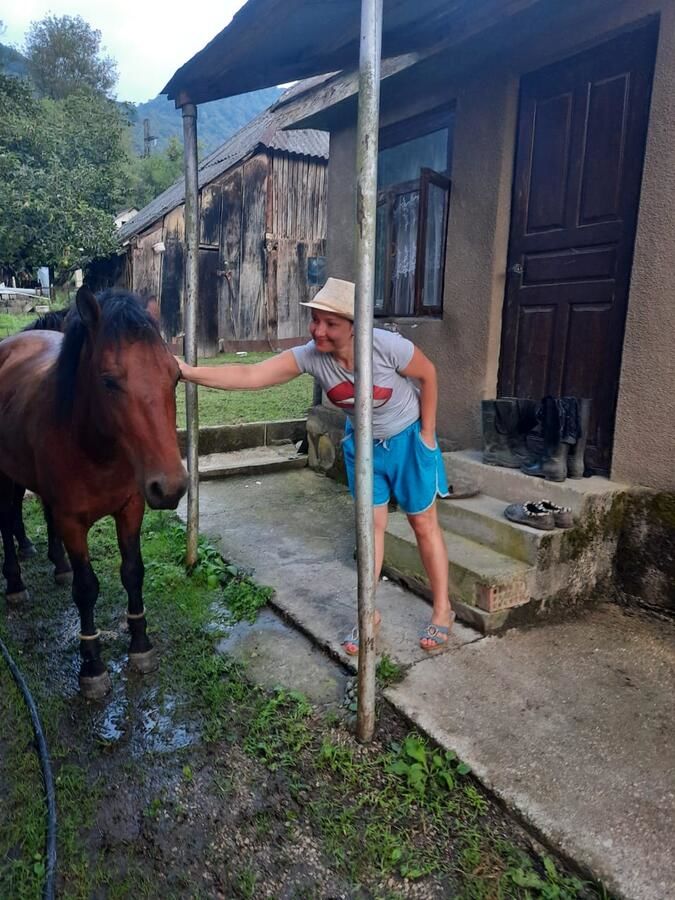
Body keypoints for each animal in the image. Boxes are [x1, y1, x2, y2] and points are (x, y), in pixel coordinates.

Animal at [0, 286, 187, 696]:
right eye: (109, 381)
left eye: (176, 376)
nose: (170, 487)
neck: (95, 447)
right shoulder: (73, 521)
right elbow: (86, 588)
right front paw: (92, 666)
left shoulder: (131, 507)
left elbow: (133, 571)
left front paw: (140, 645)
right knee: (7, 518)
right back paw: (15, 582)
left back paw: (56, 563)